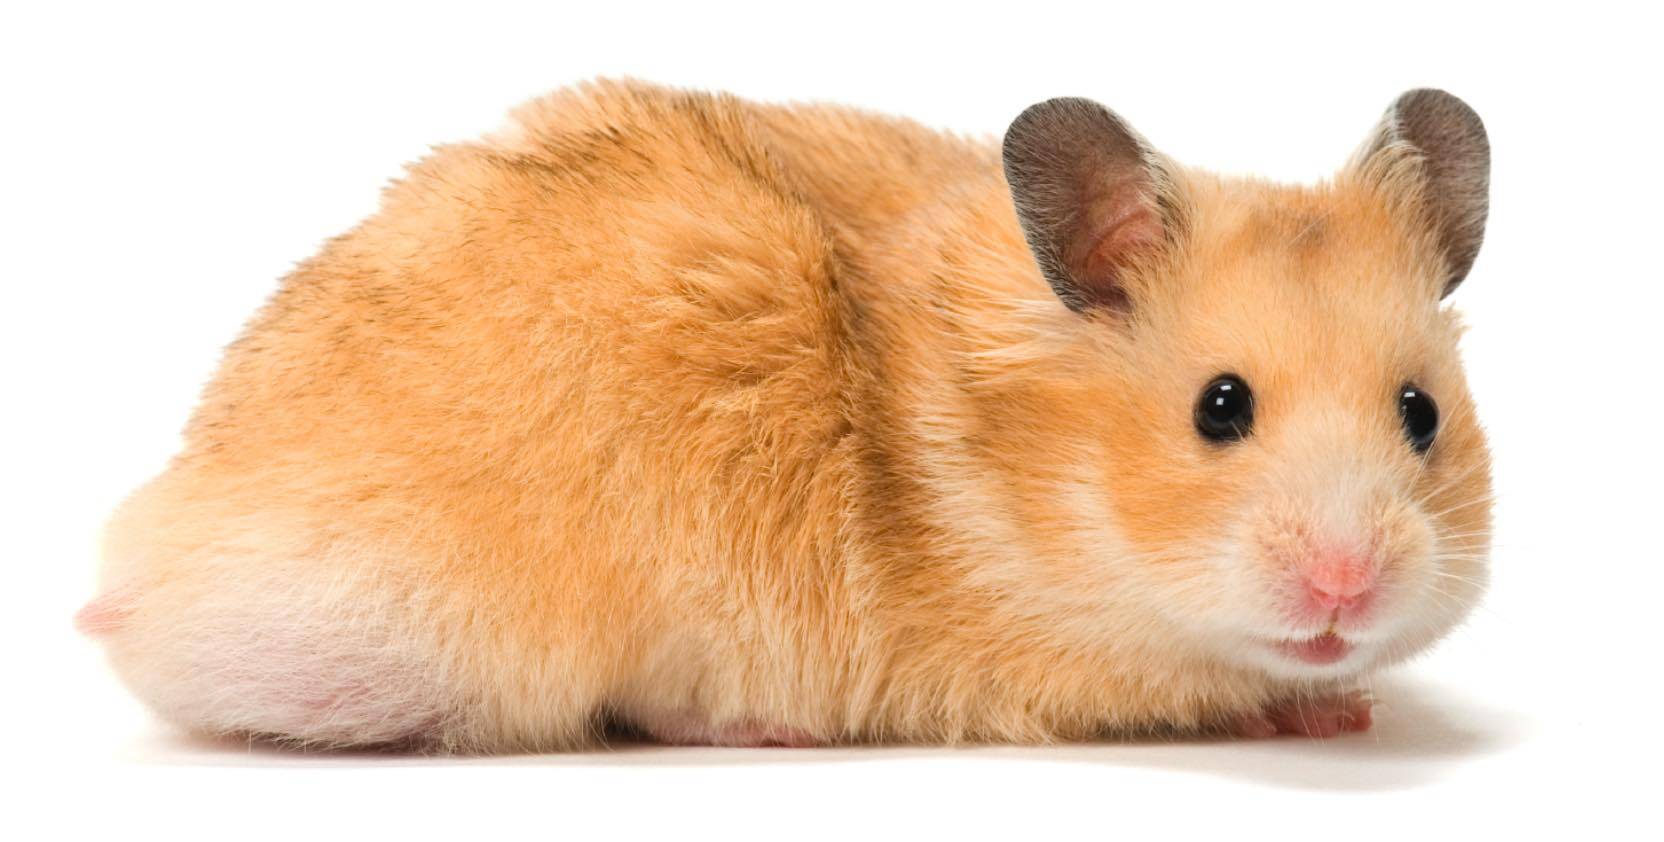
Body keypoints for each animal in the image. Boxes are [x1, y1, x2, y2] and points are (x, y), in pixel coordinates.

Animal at [78, 80, 1492, 750]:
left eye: (1420, 412)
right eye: (1218, 407)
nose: (1348, 588)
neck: (1037, 478)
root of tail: (153, 573)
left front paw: (1344, 707)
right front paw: (1313, 710)